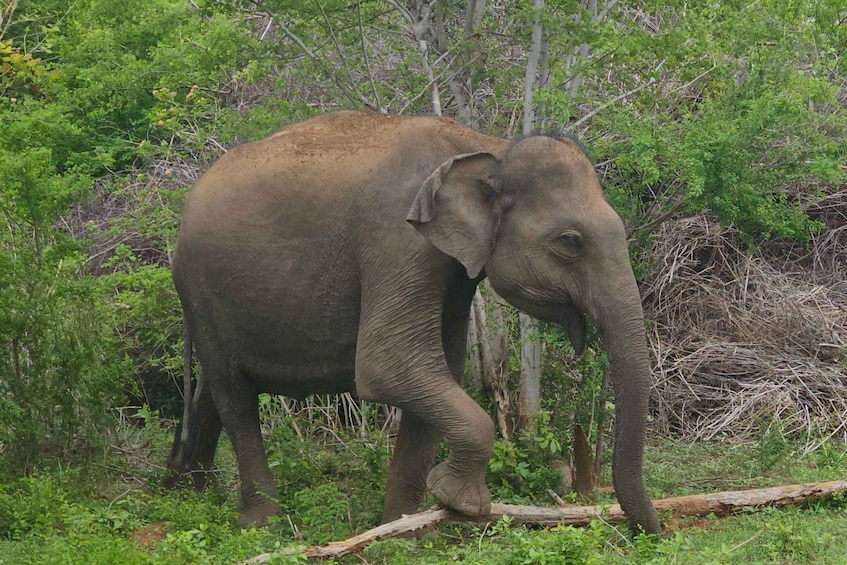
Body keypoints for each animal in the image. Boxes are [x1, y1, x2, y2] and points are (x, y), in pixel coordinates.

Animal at [167, 109, 664, 532]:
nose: (652, 533)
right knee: (235, 397)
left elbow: (440, 371)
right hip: (200, 290)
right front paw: (461, 503)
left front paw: (401, 531)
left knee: (211, 393)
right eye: (571, 242)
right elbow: (389, 366)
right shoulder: (399, 242)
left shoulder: (451, 270)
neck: (486, 147)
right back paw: (260, 526)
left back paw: (188, 492)